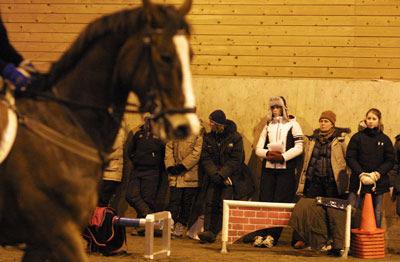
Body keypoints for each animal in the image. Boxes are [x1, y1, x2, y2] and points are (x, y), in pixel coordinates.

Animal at [0, 0, 199, 260]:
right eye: (165, 57)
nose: (186, 125)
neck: (64, 123)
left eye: (190, 55)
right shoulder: (58, 232)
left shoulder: (43, 240)